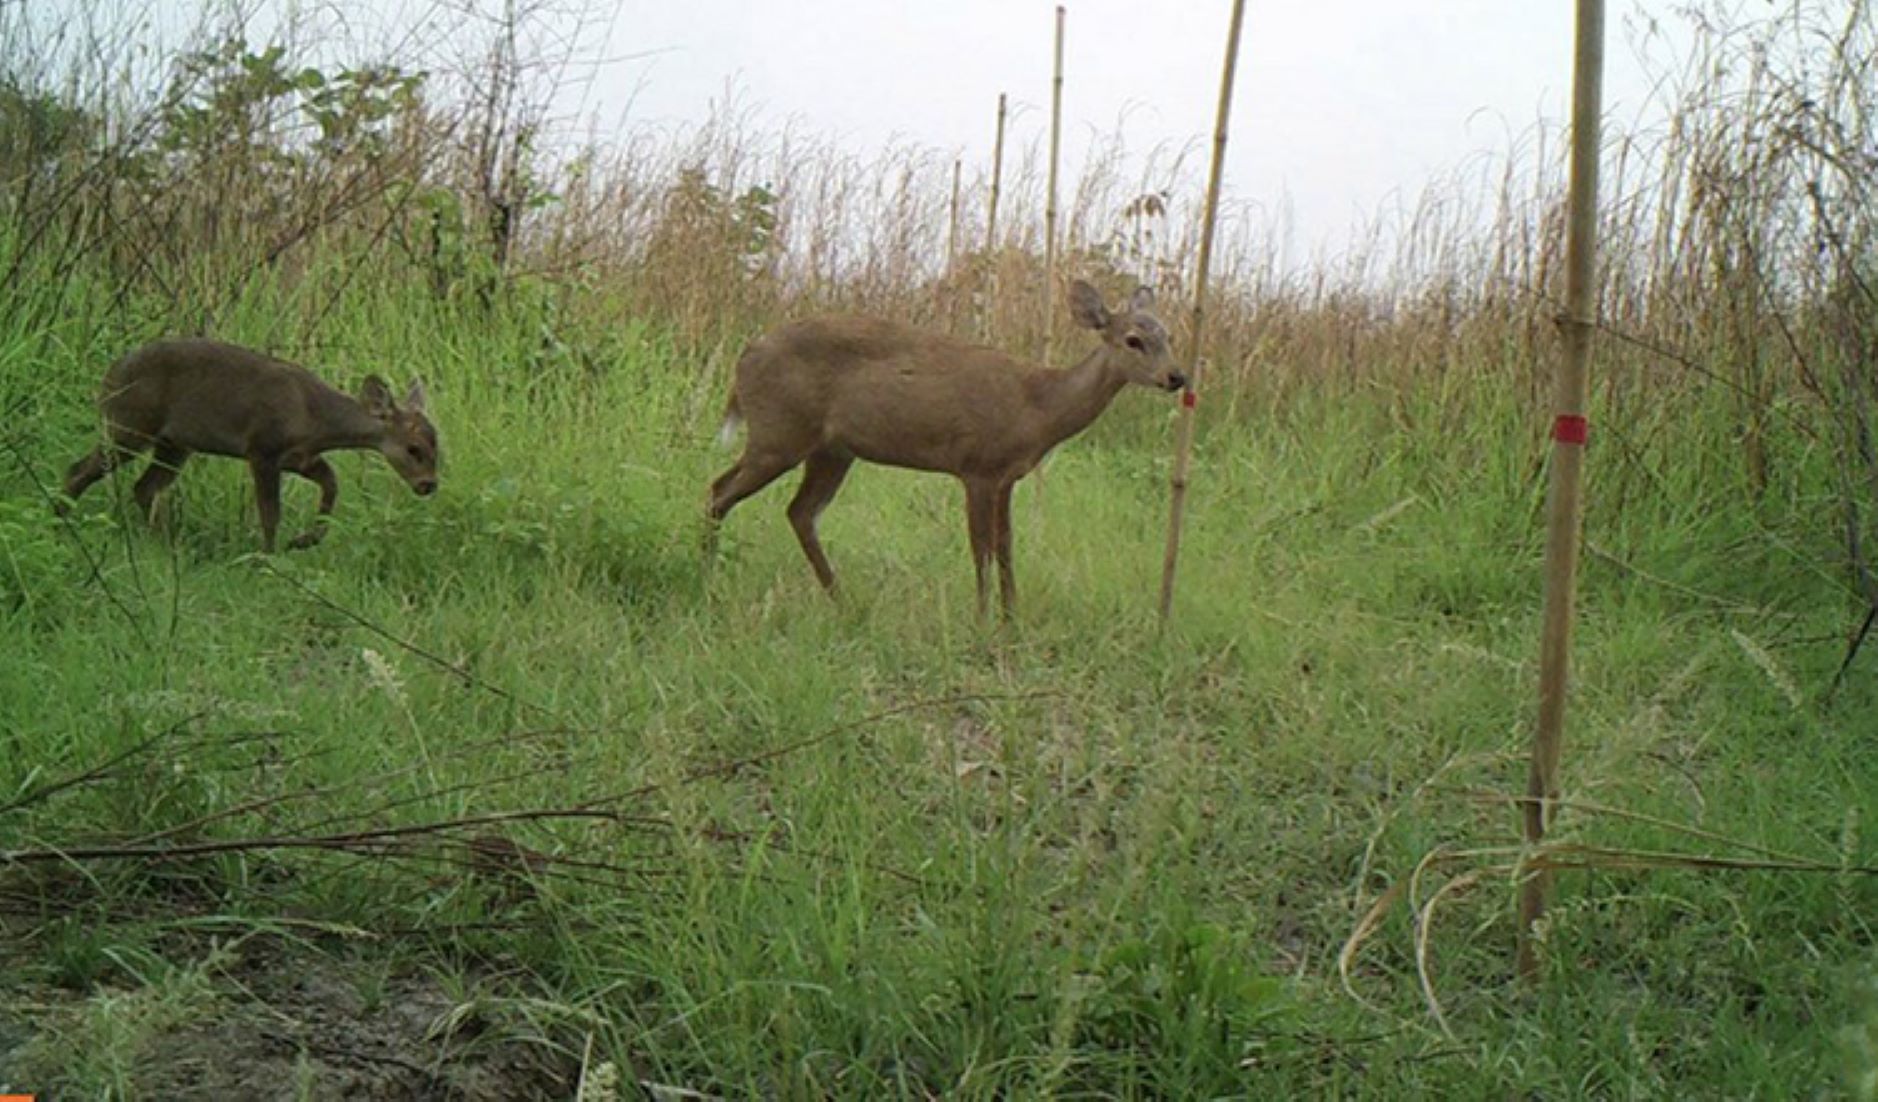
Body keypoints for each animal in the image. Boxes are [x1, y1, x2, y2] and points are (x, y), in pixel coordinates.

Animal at [59, 336, 443, 551]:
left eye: (437, 445)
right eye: (413, 449)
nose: (428, 485)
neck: (313, 417)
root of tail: (109, 375)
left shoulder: (301, 458)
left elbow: (332, 485)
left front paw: (304, 541)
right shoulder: (263, 449)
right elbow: (270, 513)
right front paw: (268, 559)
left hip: (174, 443)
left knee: (144, 487)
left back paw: (164, 544)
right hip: (130, 424)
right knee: (79, 469)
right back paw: (61, 520)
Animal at [709, 279, 1179, 615]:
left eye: (1169, 336)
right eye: (1133, 339)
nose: (1177, 377)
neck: (1038, 407)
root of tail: (745, 356)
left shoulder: (1008, 477)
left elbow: (1006, 547)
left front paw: (1013, 617)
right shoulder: (978, 467)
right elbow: (982, 549)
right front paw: (983, 619)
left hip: (831, 450)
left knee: (799, 512)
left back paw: (843, 600)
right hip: (779, 433)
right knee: (720, 490)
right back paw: (706, 575)